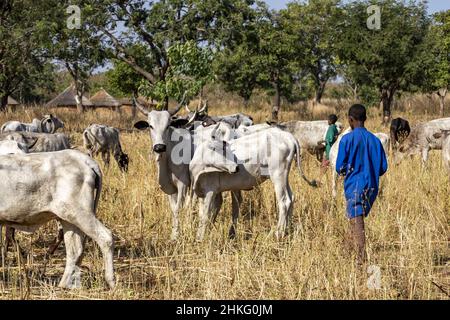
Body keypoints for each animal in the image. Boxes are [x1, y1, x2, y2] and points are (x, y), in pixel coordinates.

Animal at [0, 150, 114, 290]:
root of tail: (84, 159)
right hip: (69, 219)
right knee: (75, 250)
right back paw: (65, 284)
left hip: (81, 214)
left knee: (105, 237)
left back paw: (111, 281)